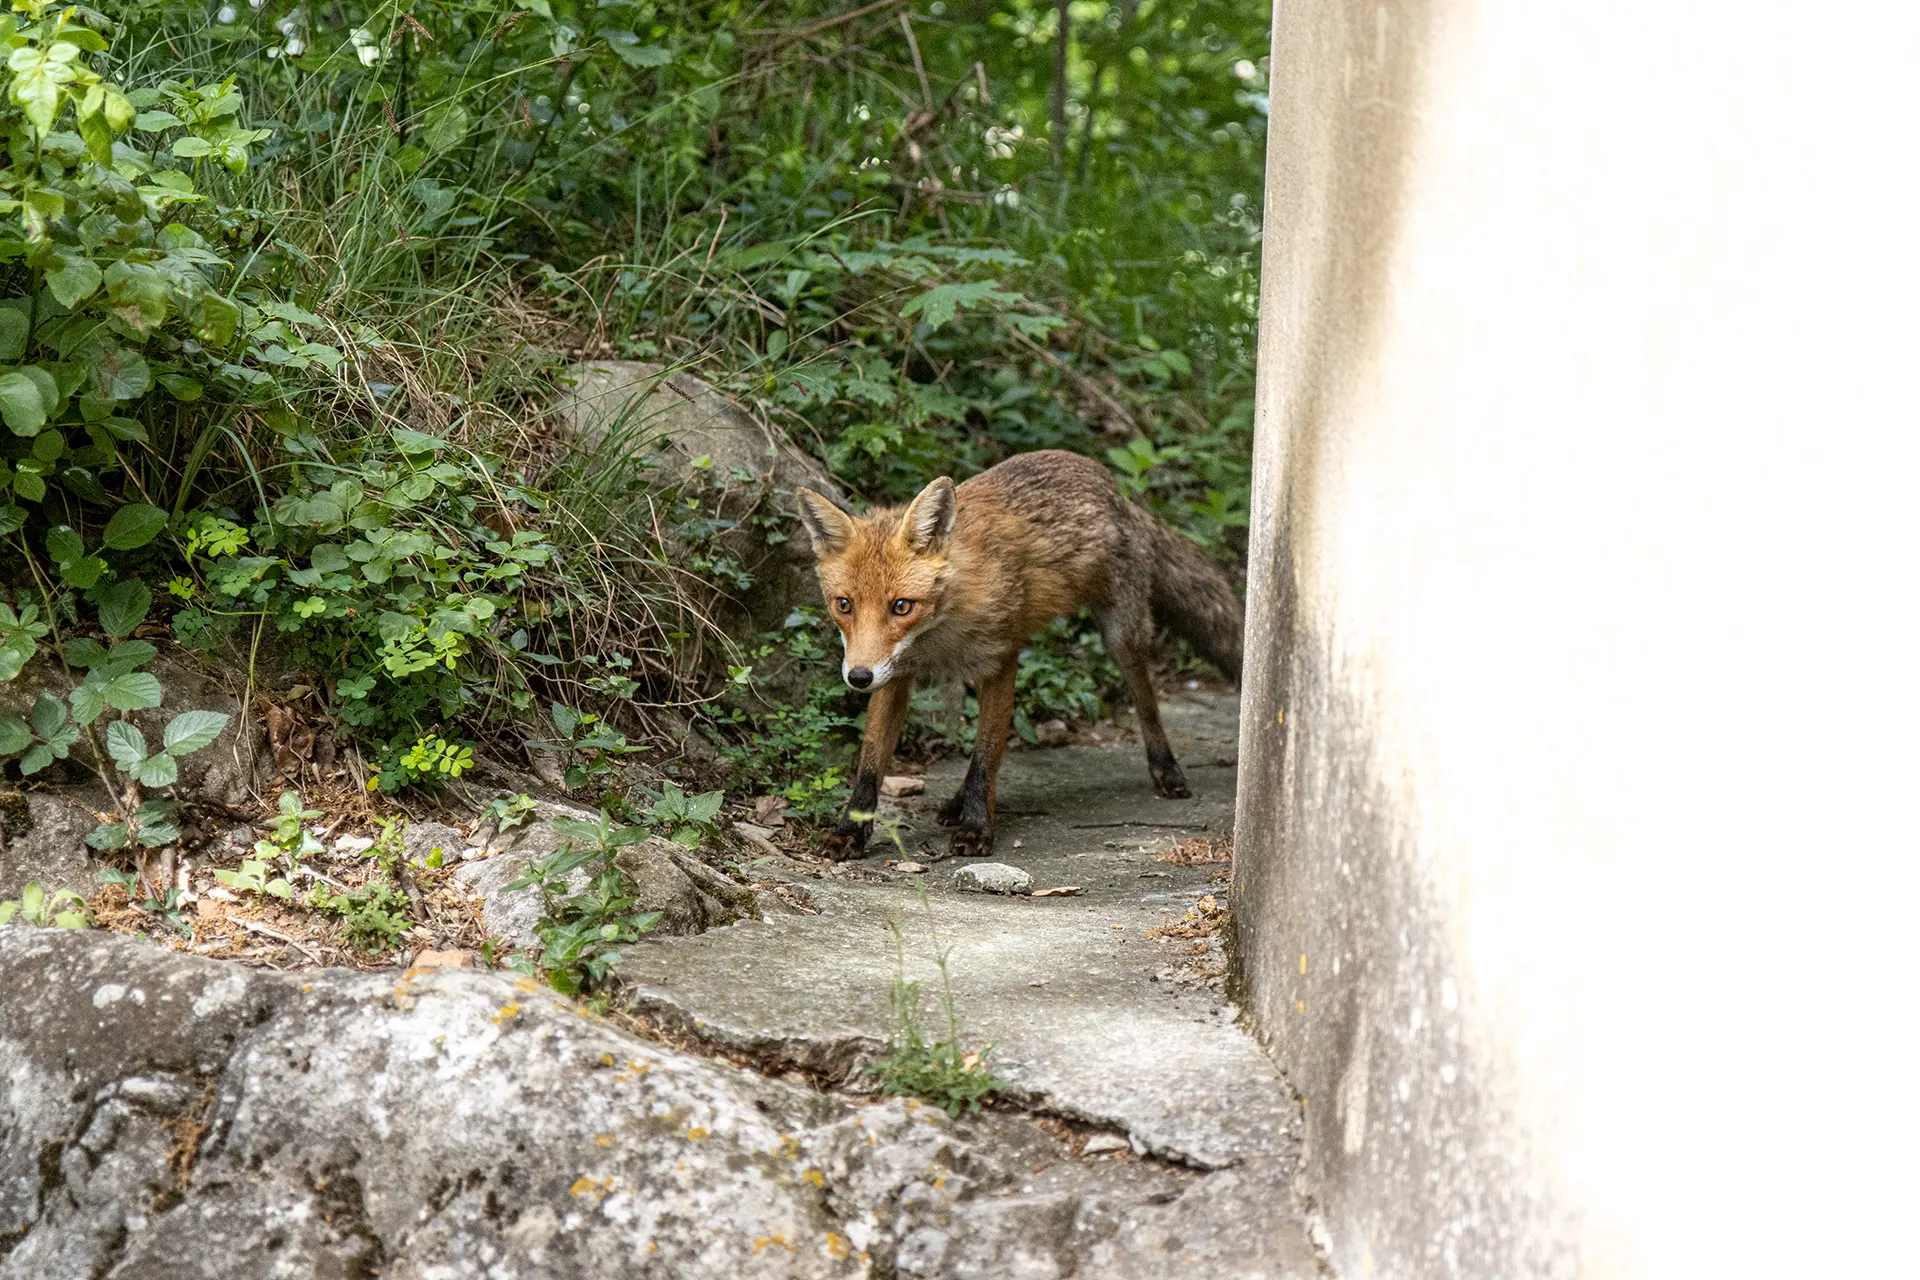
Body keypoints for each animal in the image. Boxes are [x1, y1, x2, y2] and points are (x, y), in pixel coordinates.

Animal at [794, 449, 1244, 859]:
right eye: (844, 605)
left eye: (902, 606)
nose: (859, 678)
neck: (938, 633)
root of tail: (1114, 489)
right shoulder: (895, 677)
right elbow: (870, 767)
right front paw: (851, 832)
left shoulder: (1000, 661)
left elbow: (984, 759)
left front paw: (977, 828)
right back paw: (955, 802)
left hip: (1120, 636)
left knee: (1145, 696)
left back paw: (1166, 768)